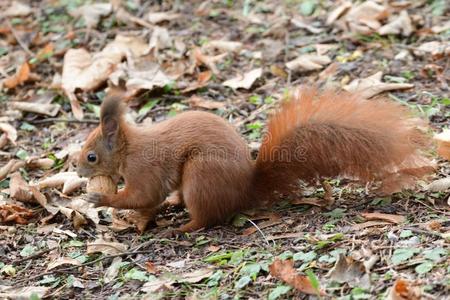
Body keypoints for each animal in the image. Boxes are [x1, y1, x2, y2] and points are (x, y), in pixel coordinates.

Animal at [78, 86, 432, 232]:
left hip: (200, 176)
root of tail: (246, 190)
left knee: (206, 218)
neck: (128, 148)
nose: (78, 171)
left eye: (91, 157)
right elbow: (148, 200)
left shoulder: (143, 169)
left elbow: (143, 196)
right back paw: (174, 206)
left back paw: (181, 228)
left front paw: (100, 198)